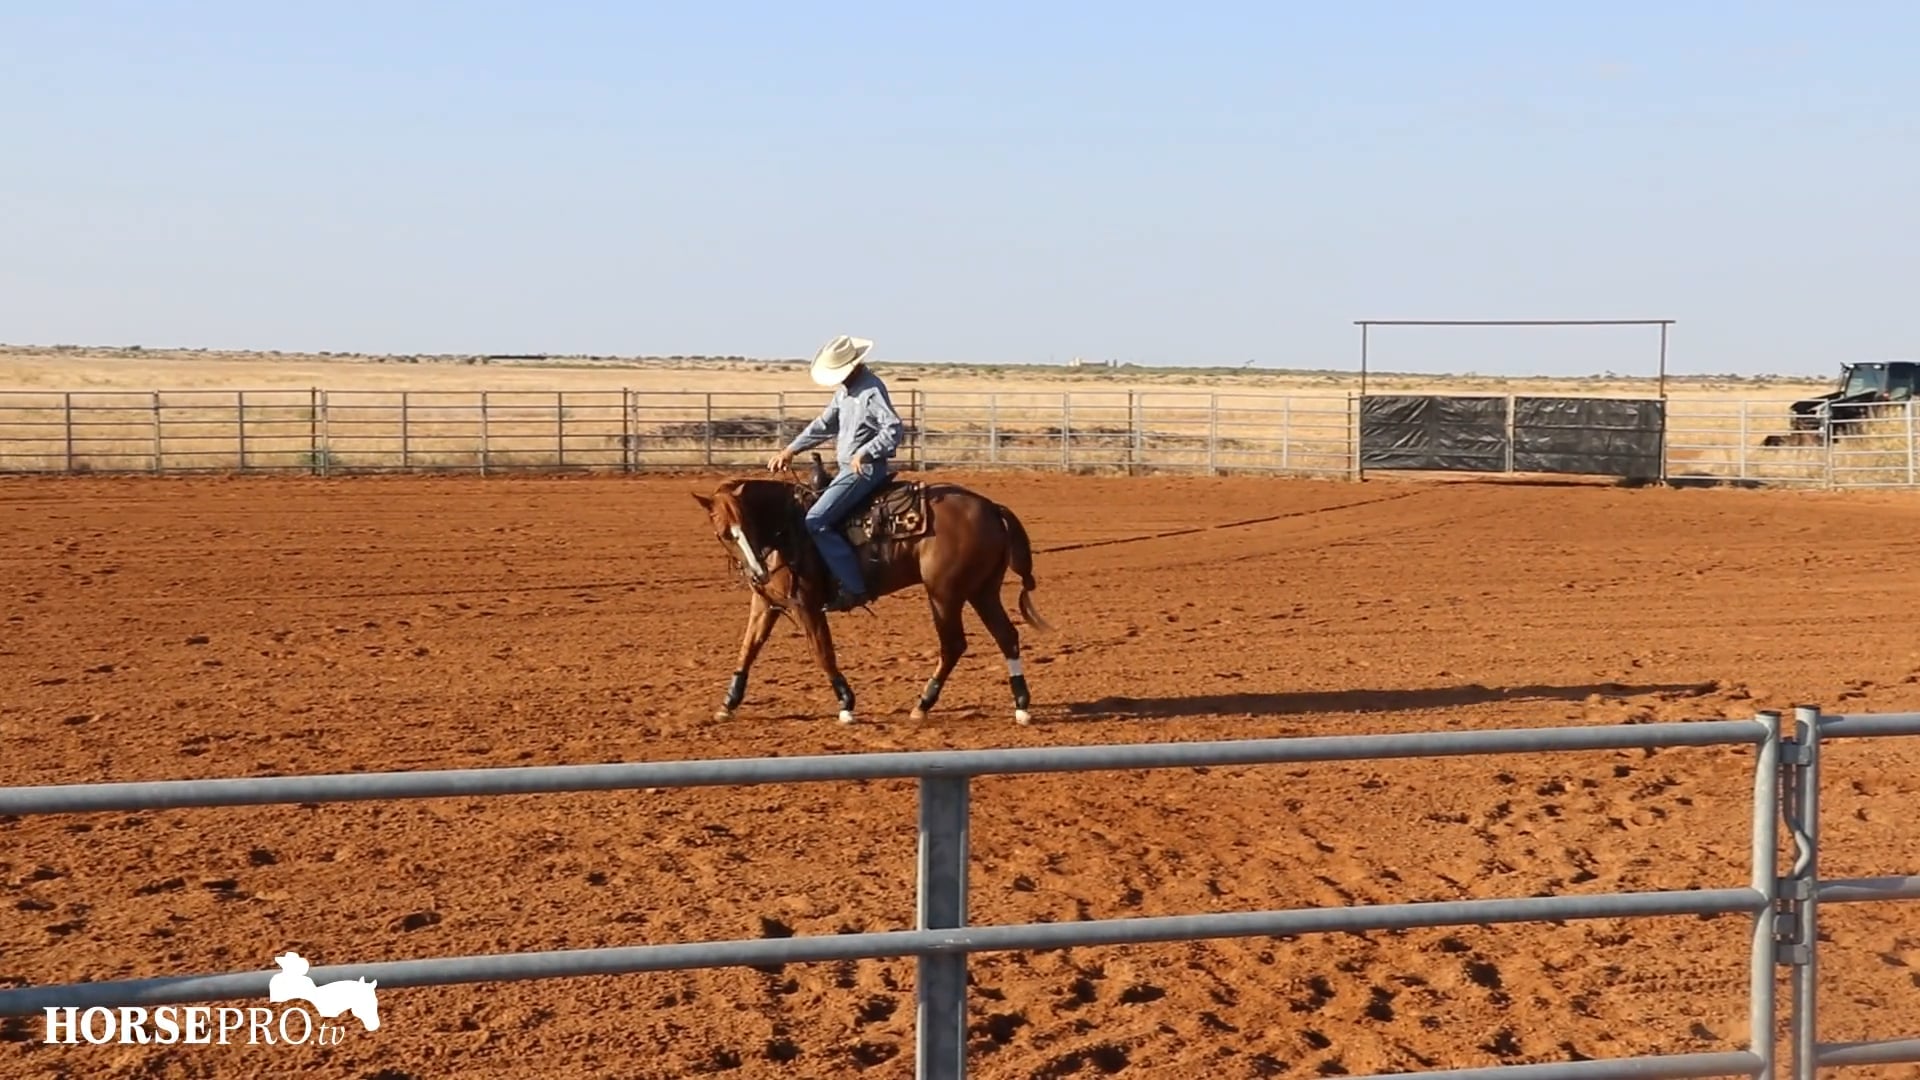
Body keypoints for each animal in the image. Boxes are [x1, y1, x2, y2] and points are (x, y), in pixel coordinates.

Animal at [691, 458, 1051, 725]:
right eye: (723, 533)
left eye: (747, 524)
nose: (758, 572)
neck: (786, 528)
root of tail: (991, 507)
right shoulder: (766, 604)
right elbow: (748, 648)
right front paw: (728, 703)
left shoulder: (806, 604)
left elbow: (822, 651)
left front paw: (846, 703)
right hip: (981, 591)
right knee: (1006, 636)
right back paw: (1021, 705)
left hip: (945, 594)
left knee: (953, 645)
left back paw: (923, 704)